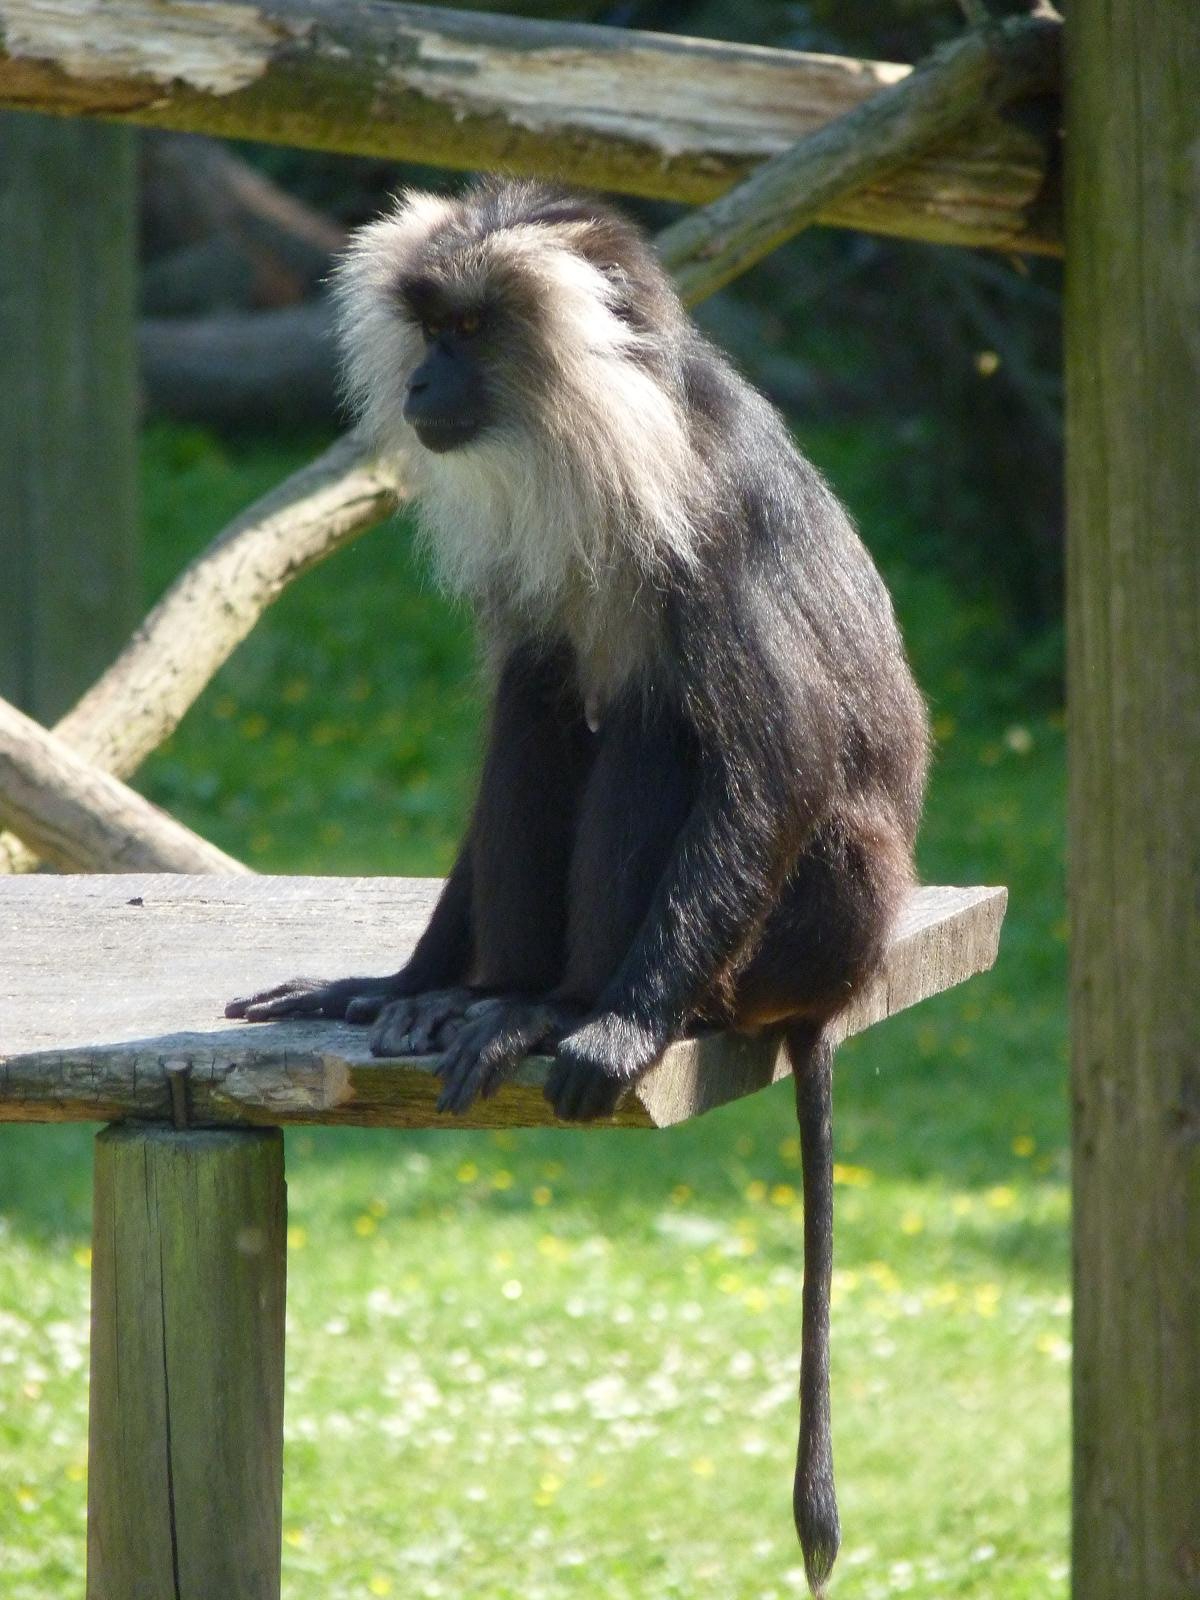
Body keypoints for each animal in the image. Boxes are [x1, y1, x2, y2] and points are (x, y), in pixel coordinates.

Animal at [226, 177, 929, 1594]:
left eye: (473, 331)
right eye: (428, 328)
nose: (425, 381)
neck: (613, 441)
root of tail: (850, 976)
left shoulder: (718, 514)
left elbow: (776, 762)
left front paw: (618, 1022)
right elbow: (531, 692)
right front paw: (392, 979)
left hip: (803, 924)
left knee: (663, 725)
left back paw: (567, 1008)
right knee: (548, 701)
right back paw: (475, 993)